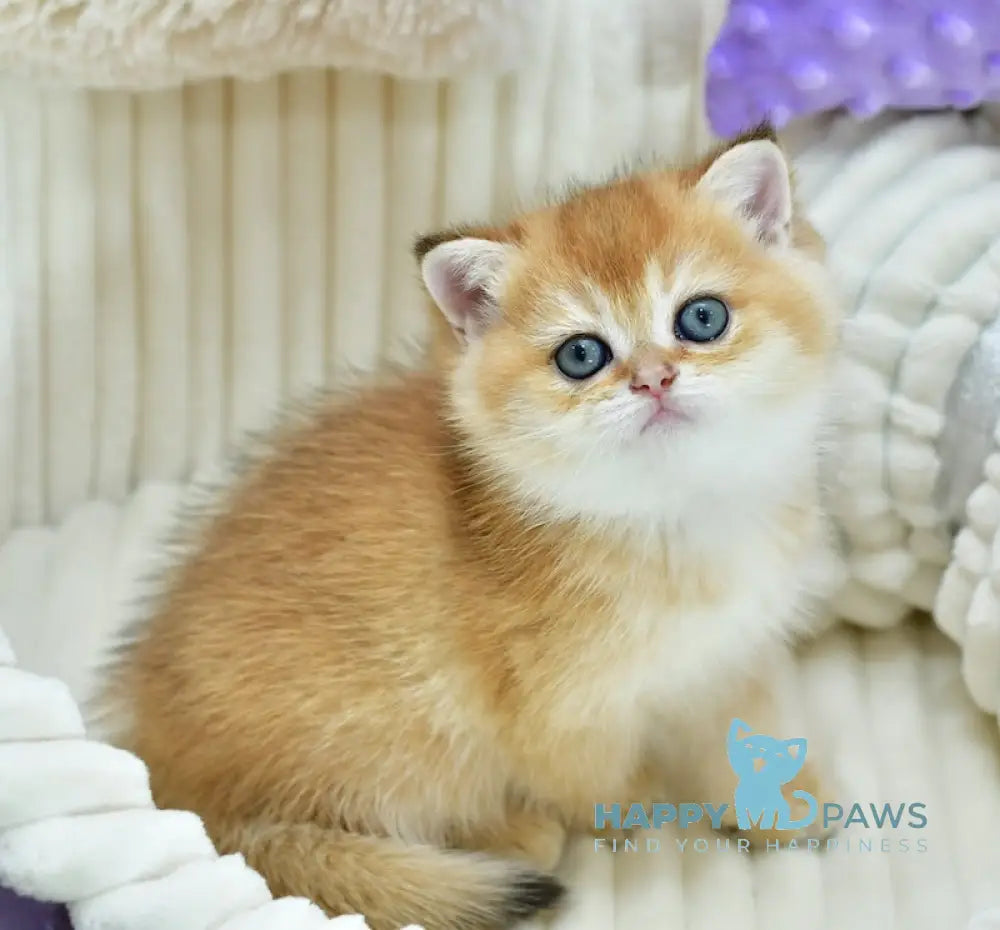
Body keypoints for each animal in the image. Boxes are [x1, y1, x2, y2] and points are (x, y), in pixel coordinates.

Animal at [95, 127, 844, 928]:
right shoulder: (562, 710)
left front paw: (777, 806)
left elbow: (736, 731)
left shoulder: (726, 653)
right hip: (409, 719)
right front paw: (641, 807)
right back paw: (512, 833)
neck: (676, 517)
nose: (653, 378)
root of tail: (167, 782)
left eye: (702, 318)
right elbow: (596, 781)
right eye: (582, 355)